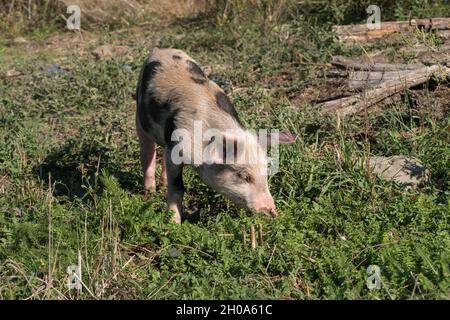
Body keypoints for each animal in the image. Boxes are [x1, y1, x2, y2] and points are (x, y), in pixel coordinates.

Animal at [134, 48, 296, 222]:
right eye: (244, 176)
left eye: (265, 172)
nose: (272, 211)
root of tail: (161, 50)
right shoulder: (175, 149)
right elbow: (177, 188)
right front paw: (173, 224)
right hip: (139, 115)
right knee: (146, 153)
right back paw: (150, 193)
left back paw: (161, 185)